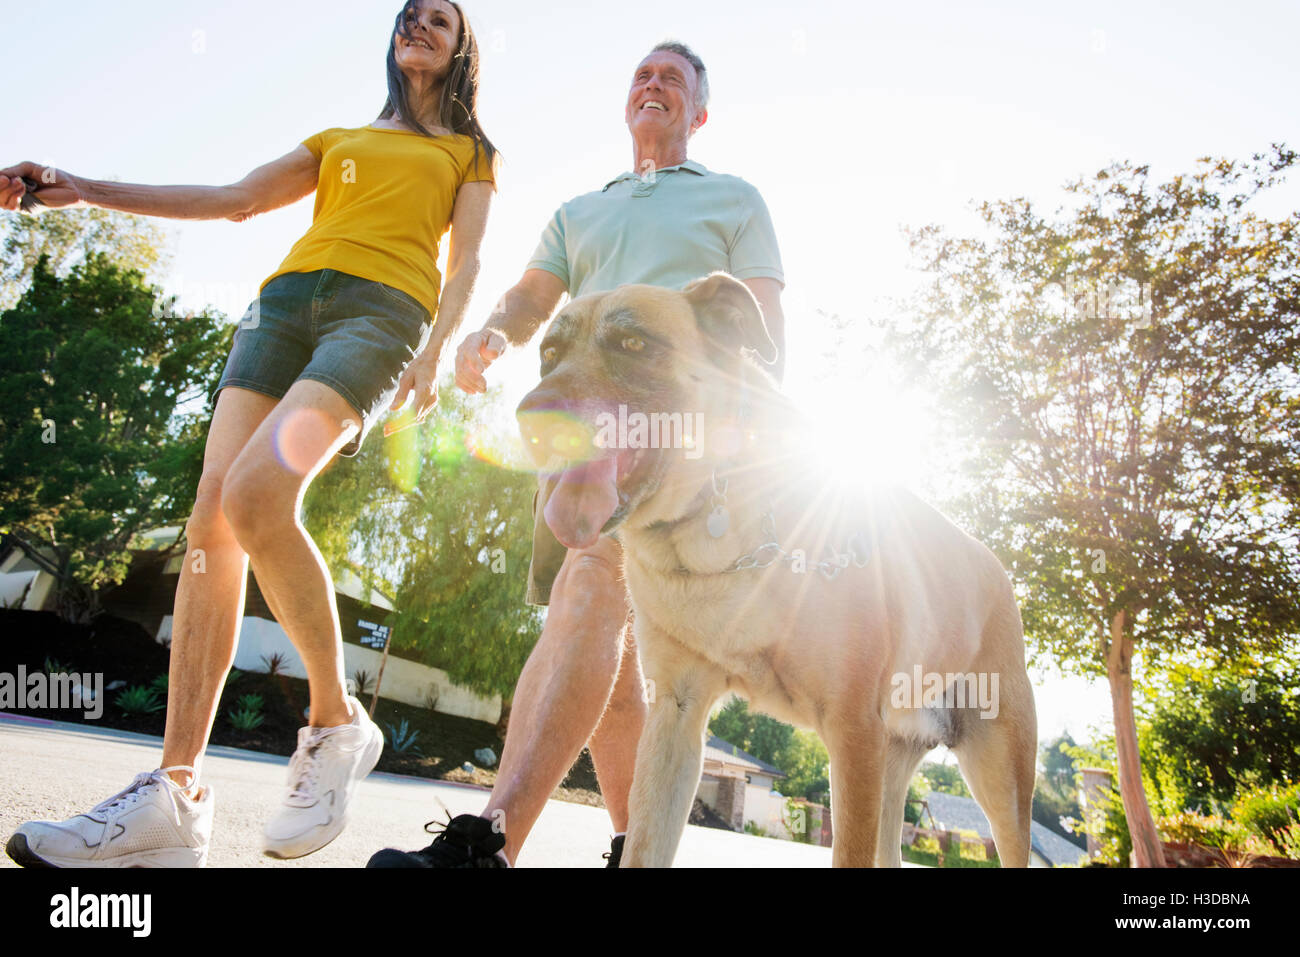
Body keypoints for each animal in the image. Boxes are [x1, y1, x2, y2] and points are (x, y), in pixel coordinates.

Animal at [517, 270, 1034, 868]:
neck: (713, 525)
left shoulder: (853, 729)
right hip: (893, 760)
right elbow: (646, 847)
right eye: (548, 355)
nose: (530, 418)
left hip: (998, 770)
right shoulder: (676, 715)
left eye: (633, 344)